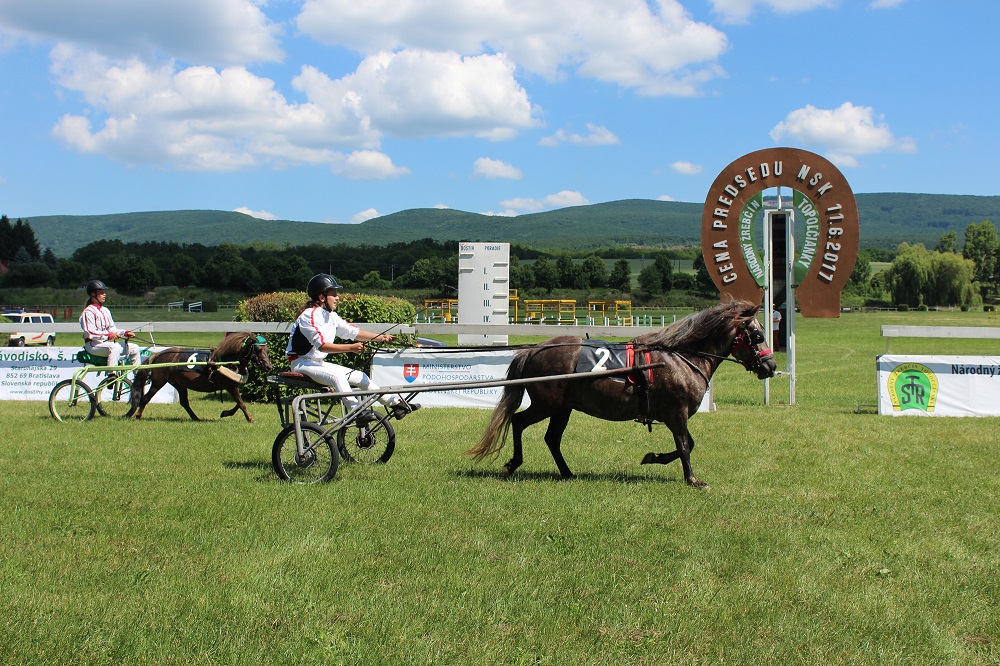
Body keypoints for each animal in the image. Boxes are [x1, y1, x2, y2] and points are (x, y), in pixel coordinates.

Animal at [133, 330, 276, 420]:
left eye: (267, 350)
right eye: (258, 349)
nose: (268, 366)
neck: (227, 361)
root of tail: (157, 355)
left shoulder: (233, 386)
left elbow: (239, 403)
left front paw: (226, 413)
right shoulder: (230, 386)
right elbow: (241, 404)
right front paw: (250, 419)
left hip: (179, 383)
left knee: (184, 402)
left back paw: (196, 418)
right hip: (159, 382)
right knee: (146, 398)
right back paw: (137, 416)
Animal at [464, 298, 776, 486]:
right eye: (758, 335)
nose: (771, 366)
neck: (680, 358)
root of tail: (534, 349)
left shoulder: (676, 415)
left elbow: (688, 444)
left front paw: (654, 458)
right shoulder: (677, 413)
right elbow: (686, 446)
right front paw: (692, 479)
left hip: (562, 408)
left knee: (551, 438)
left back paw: (566, 472)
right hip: (547, 405)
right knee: (519, 422)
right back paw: (513, 464)